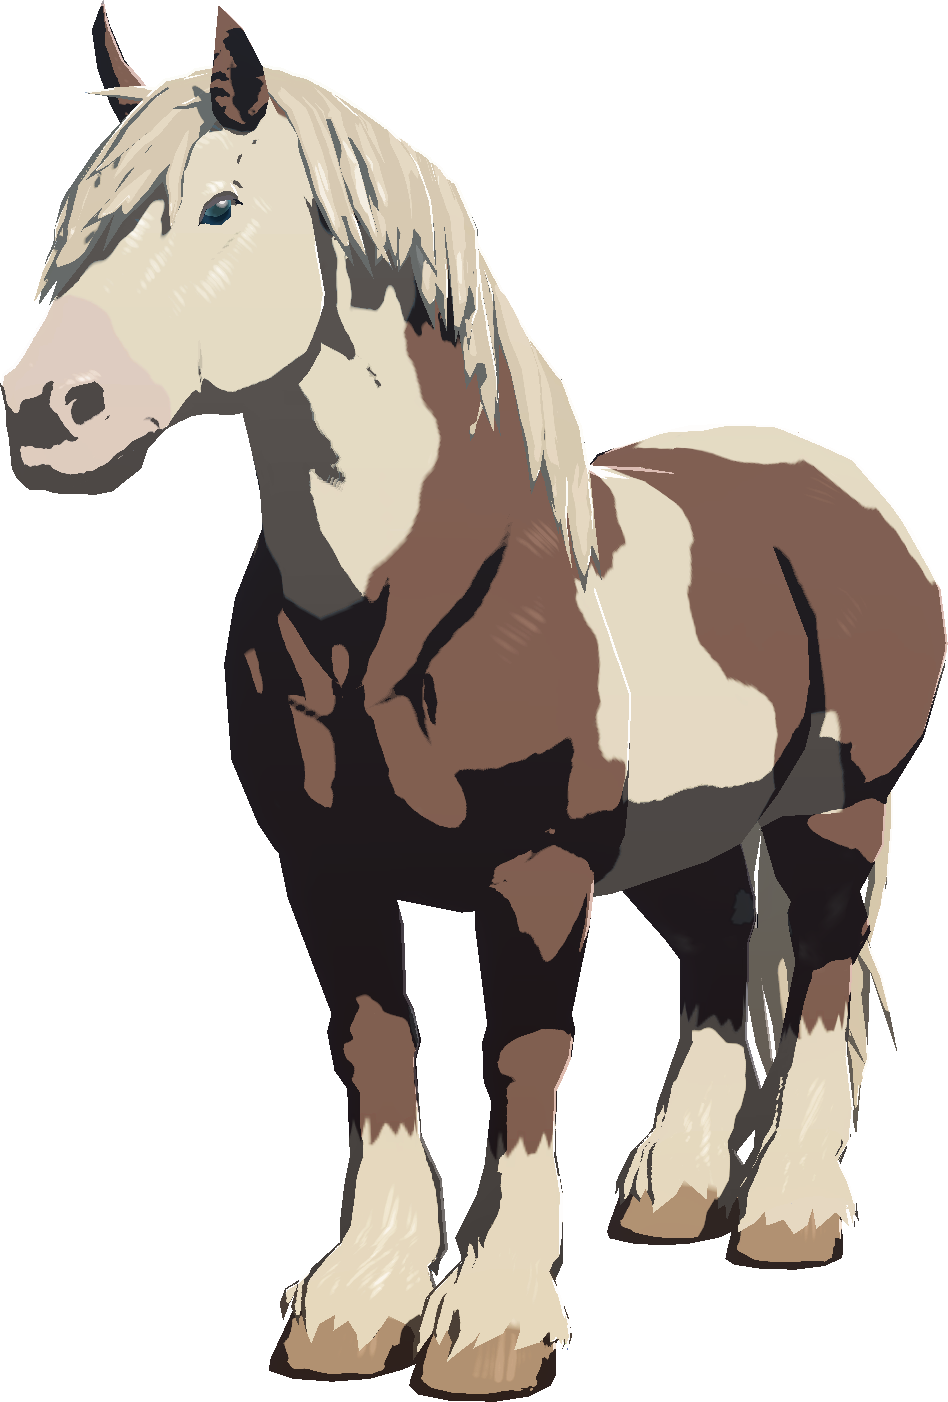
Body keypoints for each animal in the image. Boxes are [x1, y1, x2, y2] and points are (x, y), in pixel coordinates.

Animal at [4, 6, 944, 1395]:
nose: (46, 412)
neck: (401, 608)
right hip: (686, 839)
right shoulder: (326, 867)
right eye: (80, 221)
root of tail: (839, 483)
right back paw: (672, 1196)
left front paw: (492, 1319)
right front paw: (358, 1301)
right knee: (721, 963)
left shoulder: (536, 873)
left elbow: (522, 1062)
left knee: (823, 976)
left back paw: (789, 1210)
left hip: (840, 809)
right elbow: (377, 1047)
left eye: (221, 206)